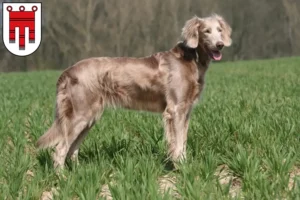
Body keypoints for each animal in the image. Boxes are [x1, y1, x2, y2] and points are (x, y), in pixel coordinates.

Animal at [37, 13, 232, 168]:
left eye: (219, 30)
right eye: (206, 31)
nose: (220, 44)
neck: (191, 58)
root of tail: (68, 71)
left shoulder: (186, 110)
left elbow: (182, 141)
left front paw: (184, 165)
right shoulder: (175, 109)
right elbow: (176, 143)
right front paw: (180, 168)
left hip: (89, 118)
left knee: (72, 149)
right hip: (80, 115)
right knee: (60, 150)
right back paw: (62, 180)